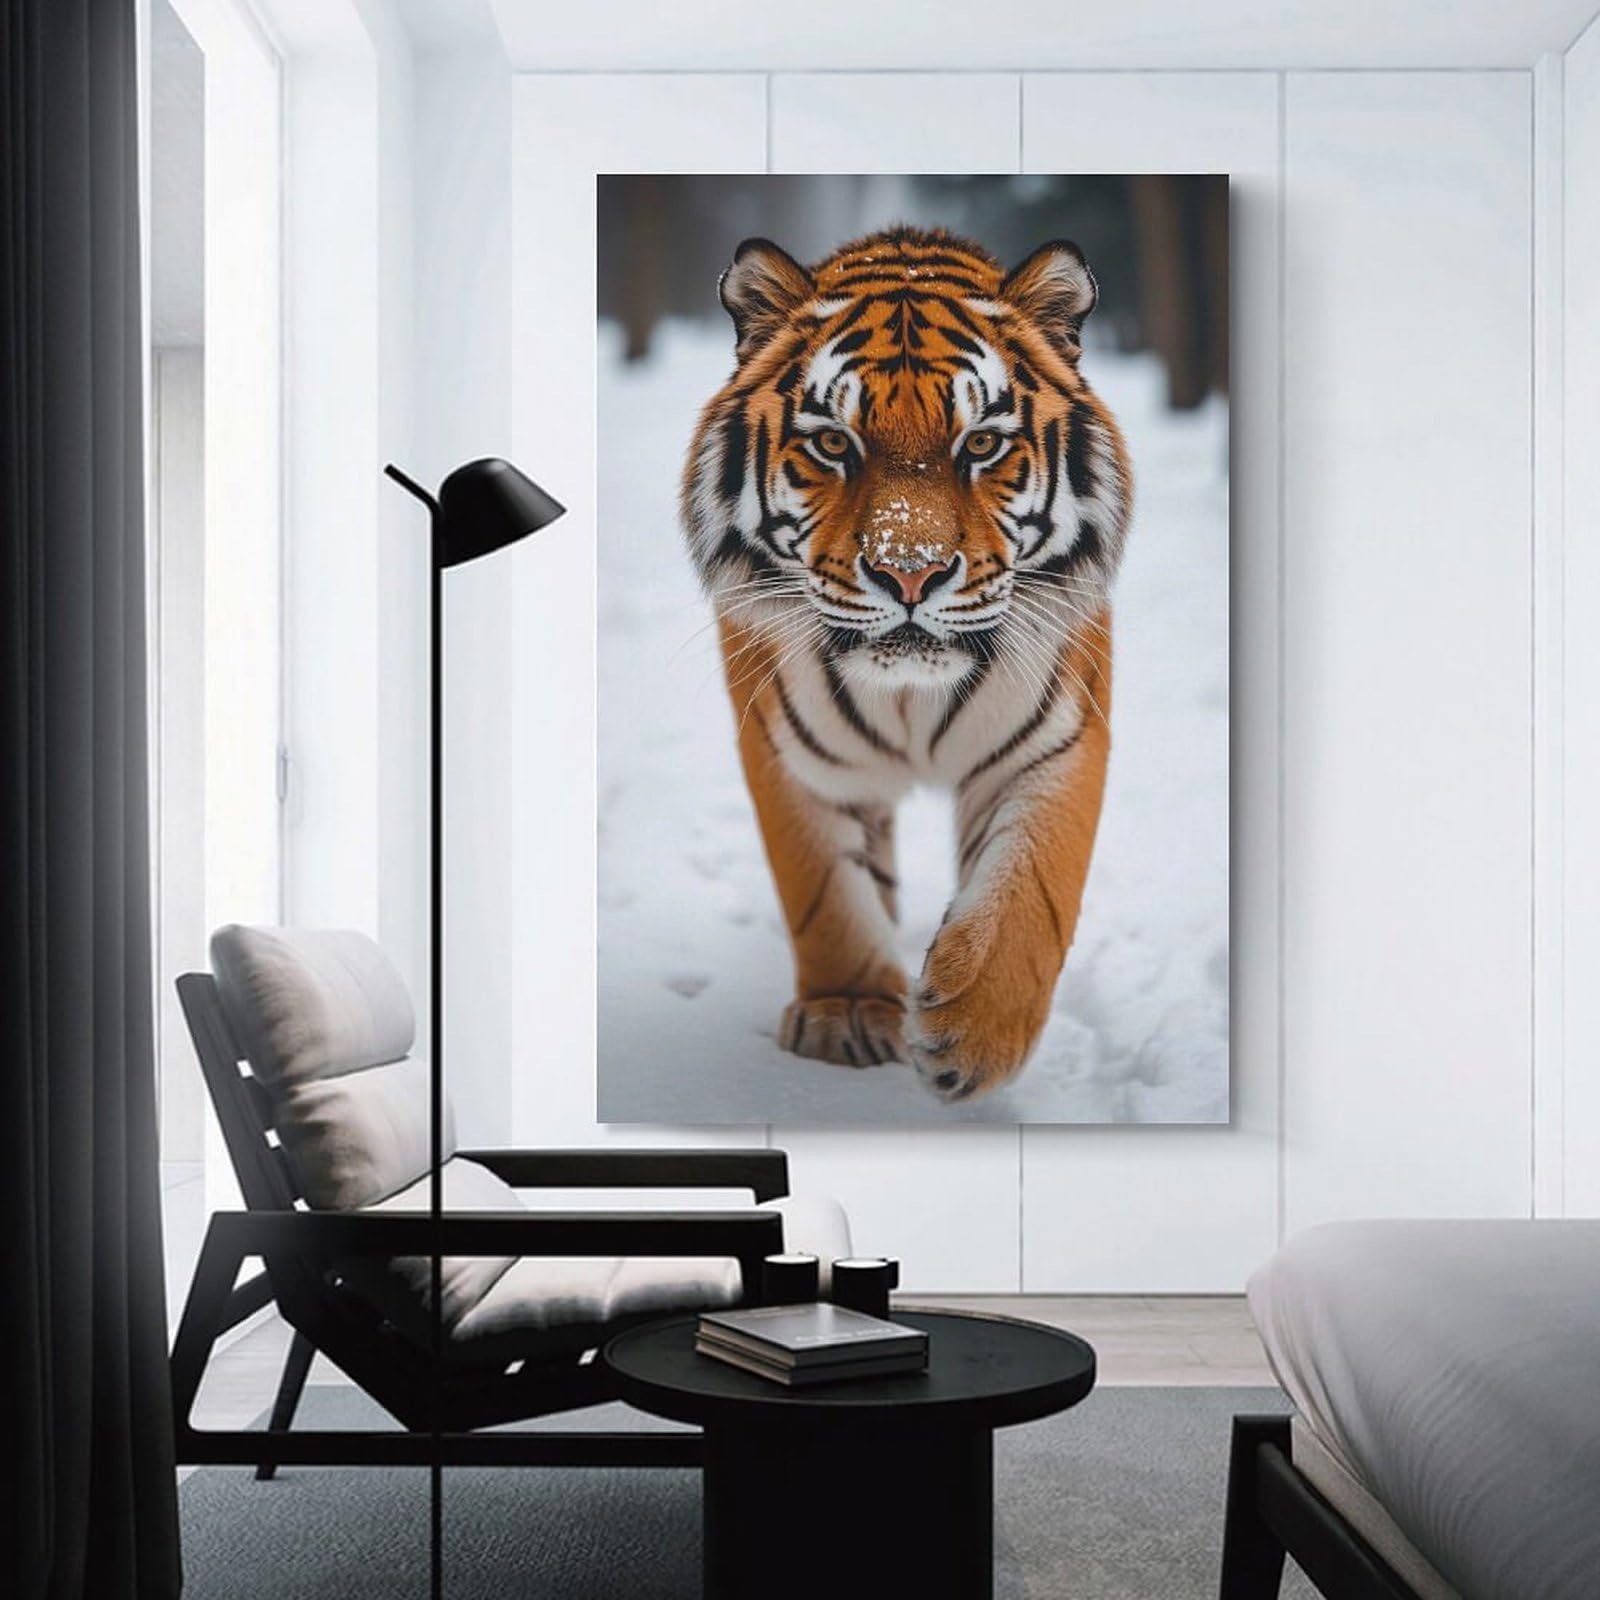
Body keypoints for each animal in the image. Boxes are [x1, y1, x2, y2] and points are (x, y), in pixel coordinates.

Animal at [680, 225, 1132, 1102]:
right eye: (833, 443)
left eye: (981, 444)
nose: (910, 574)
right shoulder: (791, 753)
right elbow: (825, 891)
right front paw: (850, 1012)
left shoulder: (1052, 740)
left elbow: (1033, 887)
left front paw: (973, 1035)